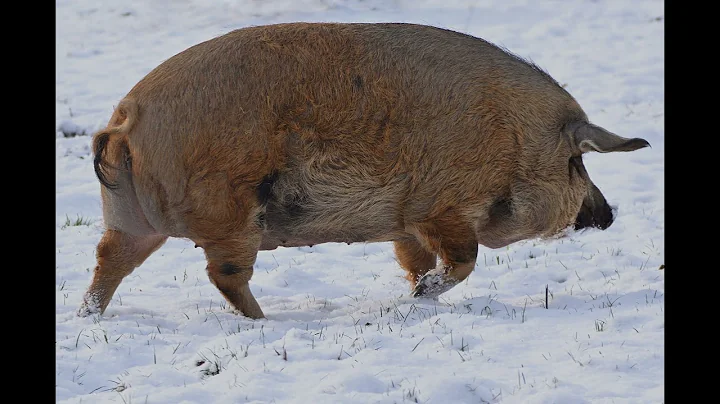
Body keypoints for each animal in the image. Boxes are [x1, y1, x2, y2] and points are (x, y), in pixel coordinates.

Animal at [78, 22, 650, 319]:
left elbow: (416, 260)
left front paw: (416, 296)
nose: (607, 214)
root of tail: (126, 118)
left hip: (129, 217)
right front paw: (424, 294)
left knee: (110, 259)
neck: (511, 140)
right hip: (229, 212)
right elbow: (464, 259)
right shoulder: (440, 204)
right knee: (223, 273)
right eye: (577, 161)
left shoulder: (405, 222)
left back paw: (89, 317)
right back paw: (264, 322)